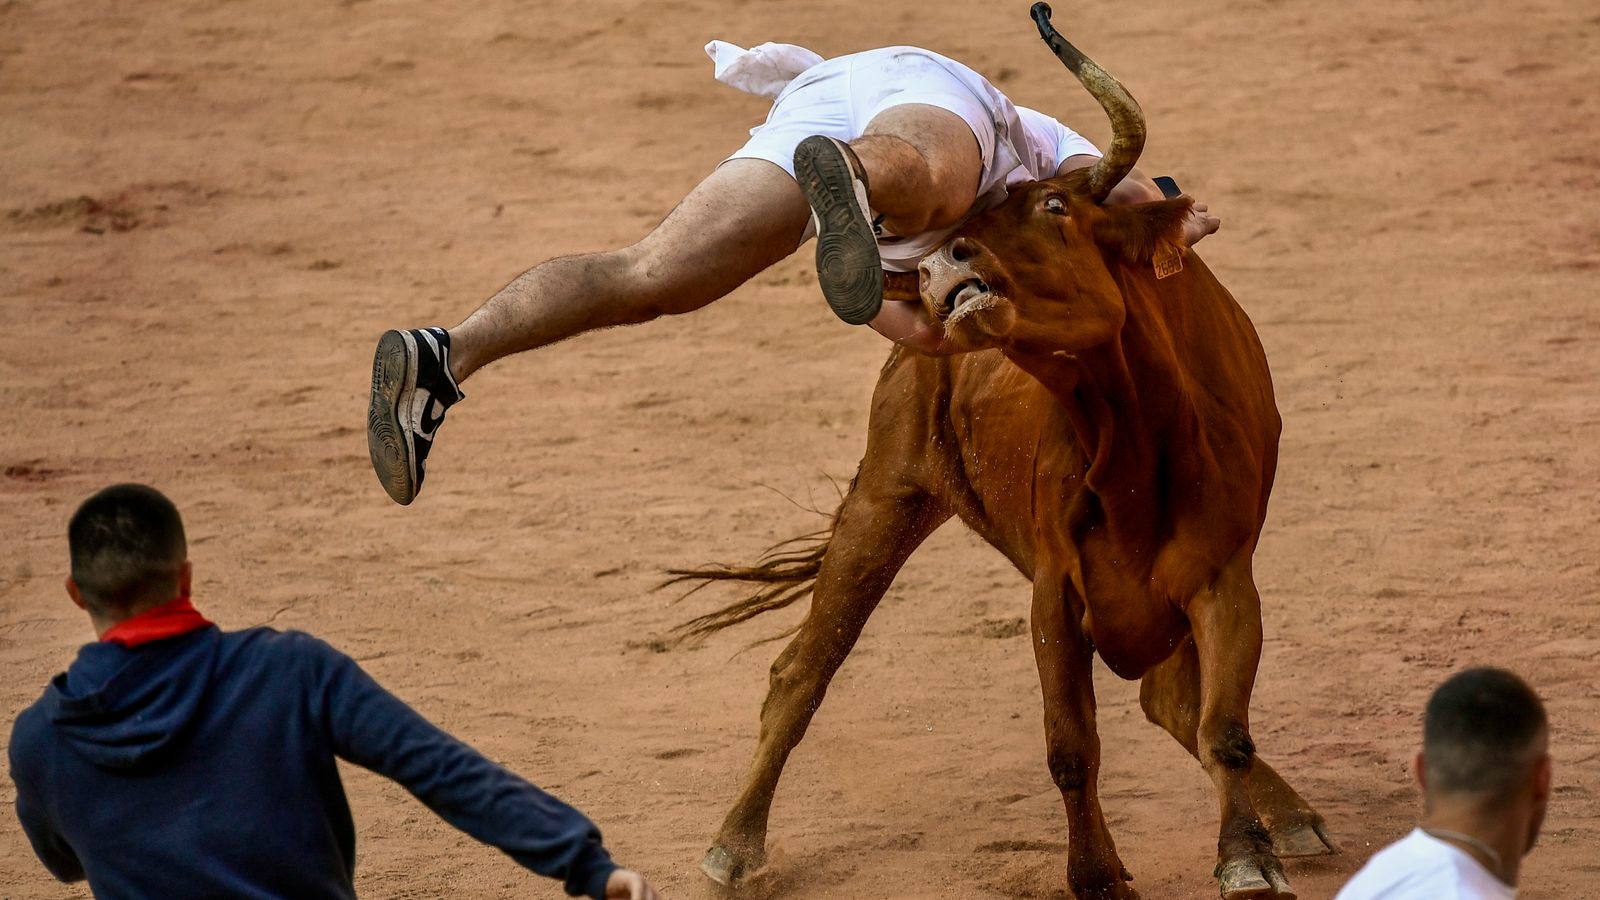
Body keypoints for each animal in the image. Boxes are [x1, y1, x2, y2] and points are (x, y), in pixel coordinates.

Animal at [678, 7, 1337, 896]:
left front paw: (1245, 854)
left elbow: (1223, 726)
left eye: (1057, 204)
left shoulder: (1223, 577)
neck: (1139, 442)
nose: (940, 266)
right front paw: (1097, 876)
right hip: (887, 497)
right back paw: (734, 843)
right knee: (802, 672)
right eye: (971, 226)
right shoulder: (1056, 589)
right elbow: (1071, 747)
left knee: (1177, 705)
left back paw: (1292, 816)